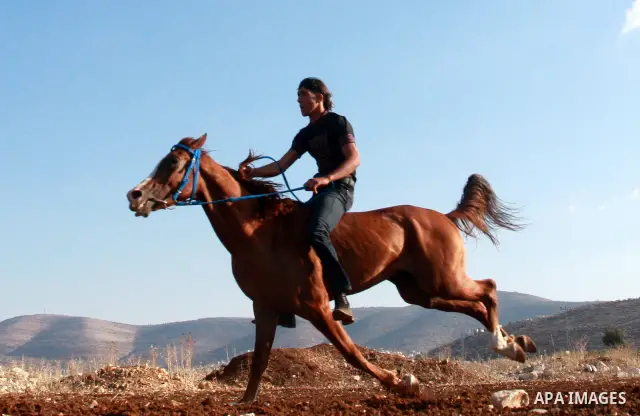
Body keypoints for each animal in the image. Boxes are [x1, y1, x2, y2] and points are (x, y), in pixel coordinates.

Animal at [125, 133, 536, 404]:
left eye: (174, 163)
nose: (135, 195)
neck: (260, 232)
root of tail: (445, 217)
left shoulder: (317, 306)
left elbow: (351, 352)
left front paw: (401, 383)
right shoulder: (266, 308)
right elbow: (259, 361)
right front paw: (244, 403)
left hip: (443, 279)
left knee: (488, 288)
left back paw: (504, 343)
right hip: (420, 291)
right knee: (474, 304)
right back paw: (514, 346)